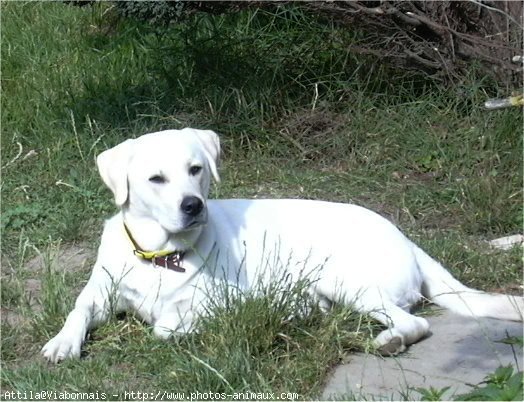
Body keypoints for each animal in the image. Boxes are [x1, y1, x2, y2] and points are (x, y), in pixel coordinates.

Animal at [42, 127, 524, 362]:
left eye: (196, 169)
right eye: (155, 179)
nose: (193, 205)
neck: (161, 256)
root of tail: (404, 235)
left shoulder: (224, 301)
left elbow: (167, 325)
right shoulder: (99, 293)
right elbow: (77, 310)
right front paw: (63, 343)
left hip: (341, 278)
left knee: (414, 323)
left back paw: (386, 340)